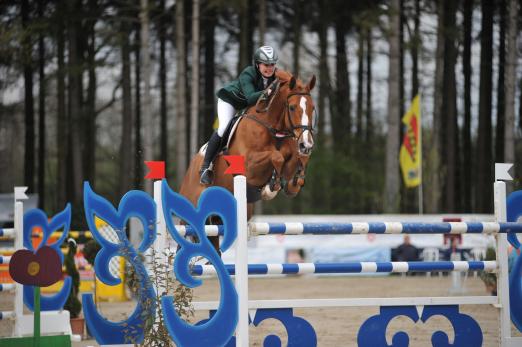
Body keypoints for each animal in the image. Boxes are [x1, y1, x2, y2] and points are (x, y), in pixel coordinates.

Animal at [179, 69, 316, 251]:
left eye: (313, 108)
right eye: (292, 107)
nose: (306, 144)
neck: (273, 127)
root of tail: (188, 174)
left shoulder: (291, 156)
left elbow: (295, 159)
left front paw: (294, 182)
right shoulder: (250, 167)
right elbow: (276, 157)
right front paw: (271, 188)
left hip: (217, 220)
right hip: (187, 218)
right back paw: (205, 173)